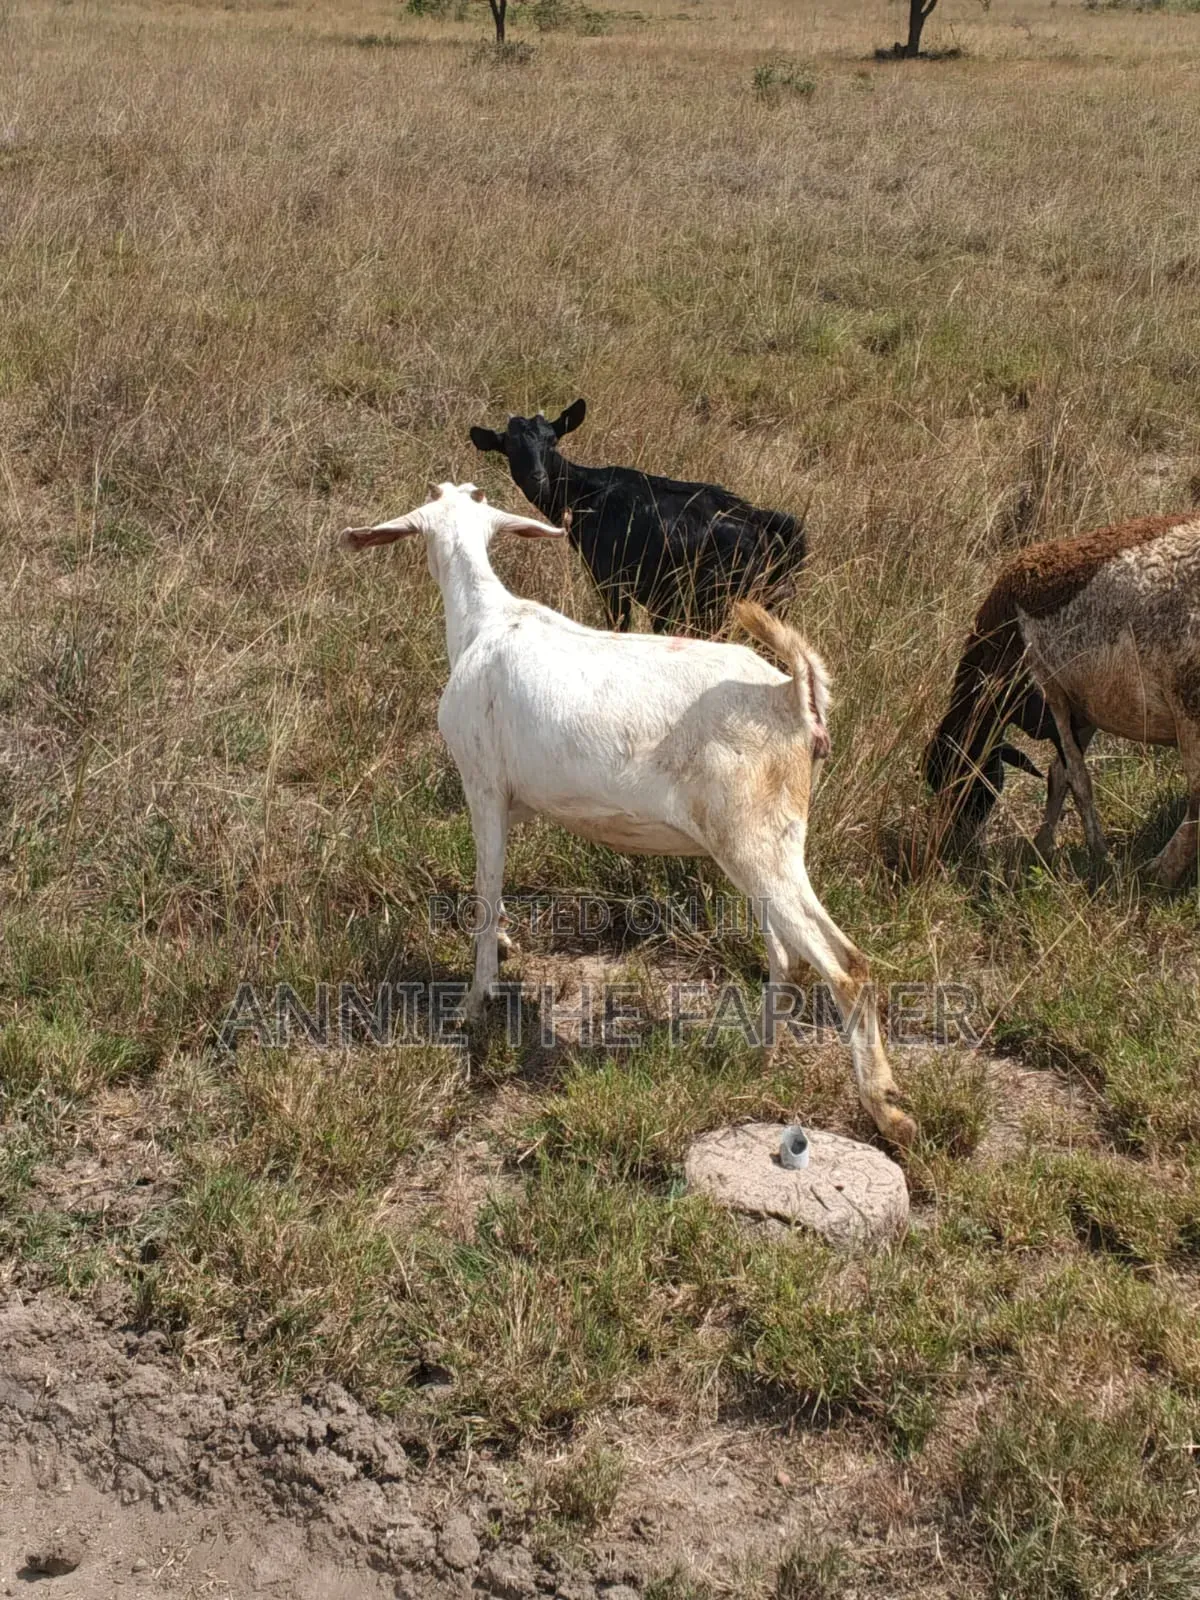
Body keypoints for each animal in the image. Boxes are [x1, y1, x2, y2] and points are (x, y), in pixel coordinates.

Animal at [342, 482, 913, 1146]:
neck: (486, 622)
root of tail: (792, 698)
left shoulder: (481, 782)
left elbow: (485, 890)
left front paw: (472, 1002)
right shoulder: (516, 801)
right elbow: (497, 888)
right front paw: (507, 943)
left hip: (756, 840)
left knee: (846, 966)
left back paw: (886, 1108)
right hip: (763, 846)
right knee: (786, 955)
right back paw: (760, 1055)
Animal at [469, 400, 807, 636]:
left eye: (552, 441)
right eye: (511, 445)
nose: (537, 478)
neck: (587, 493)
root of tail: (766, 523)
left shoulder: (611, 581)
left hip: (719, 603)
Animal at [924, 512, 1200, 884]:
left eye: (957, 776)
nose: (957, 846)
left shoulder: (1051, 693)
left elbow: (1078, 780)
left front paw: (1100, 857)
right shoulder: (1081, 710)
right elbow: (1059, 776)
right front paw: (1042, 846)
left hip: (1190, 704)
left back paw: (1161, 871)